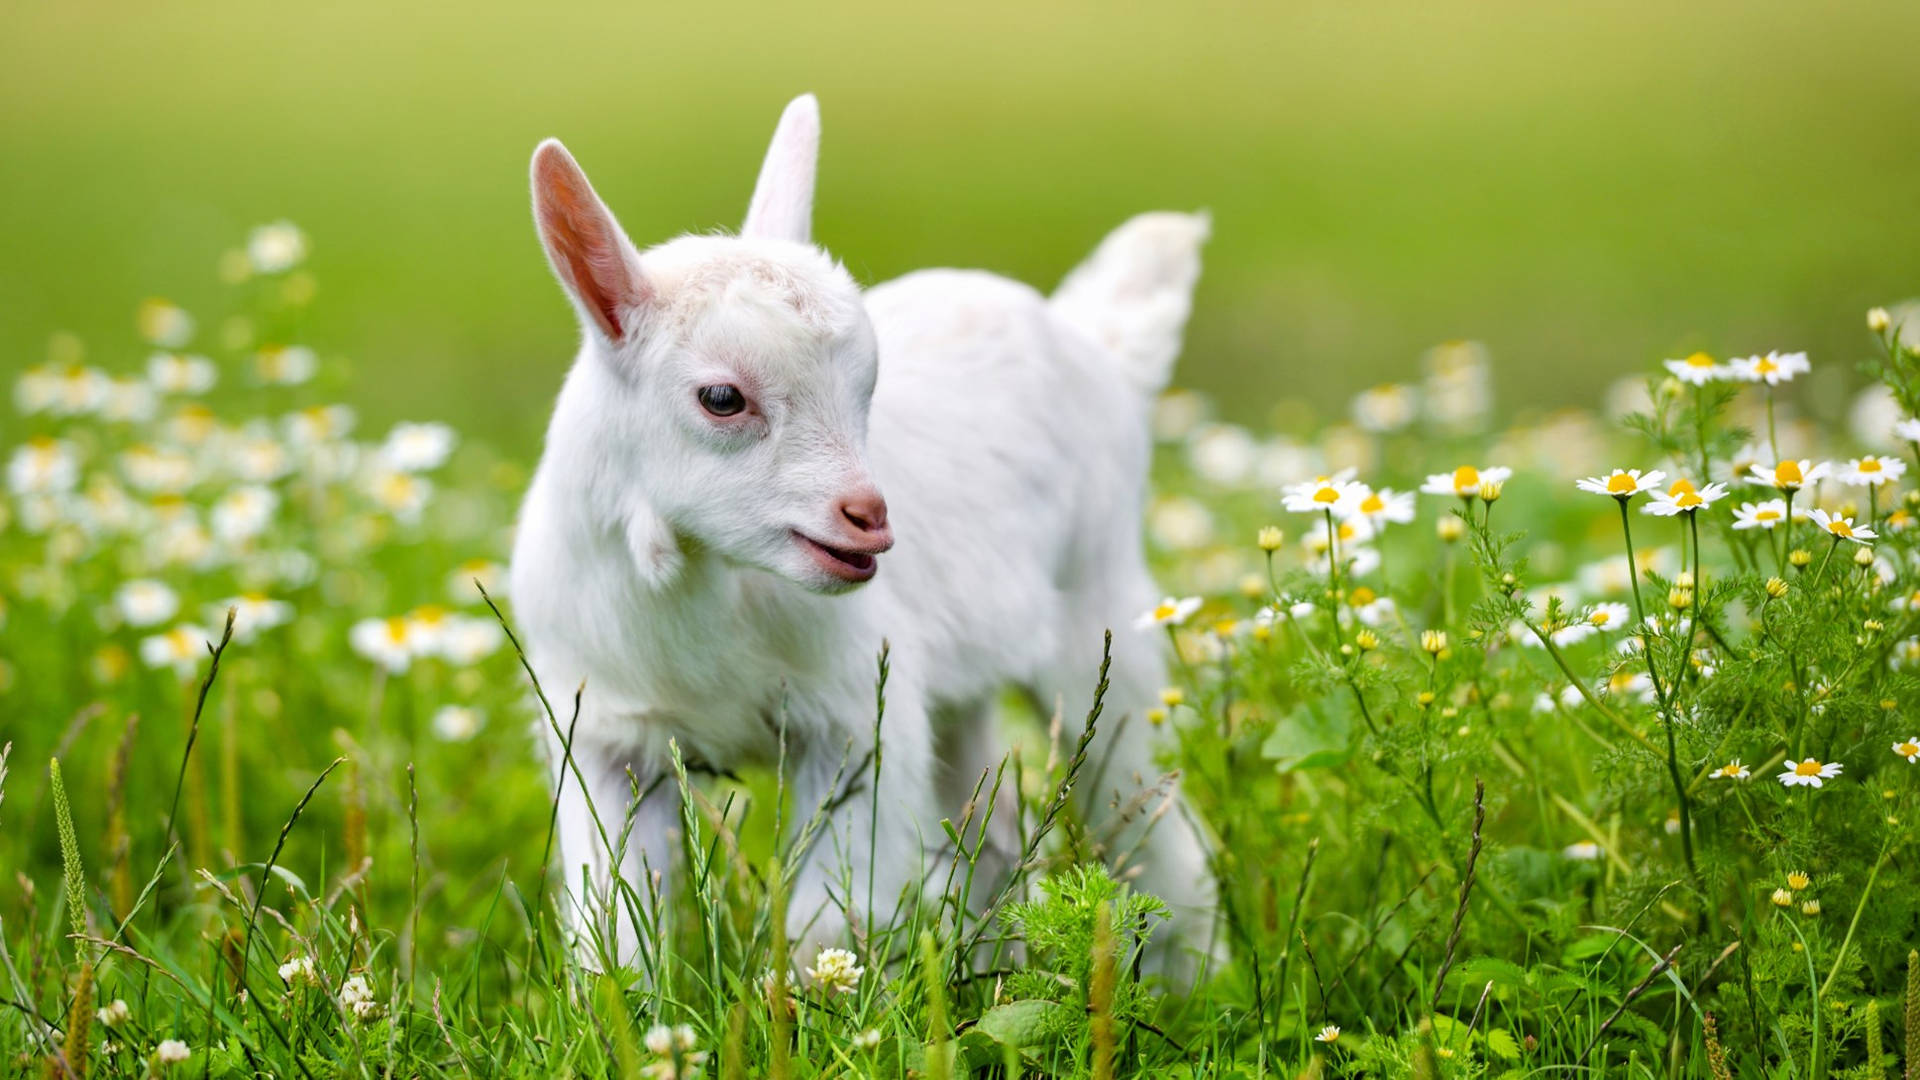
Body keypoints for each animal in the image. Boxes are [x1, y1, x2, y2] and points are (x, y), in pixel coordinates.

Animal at [510, 92, 1213, 968]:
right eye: (721, 398)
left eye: (866, 386)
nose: (868, 518)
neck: (706, 586)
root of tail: (1097, 348)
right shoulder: (601, 735)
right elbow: (610, 928)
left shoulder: (859, 721)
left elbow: (821, 926)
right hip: (972, 681)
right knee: (991, 832)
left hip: (1101, 608)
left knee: (1153, 818)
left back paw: (1194, 974)